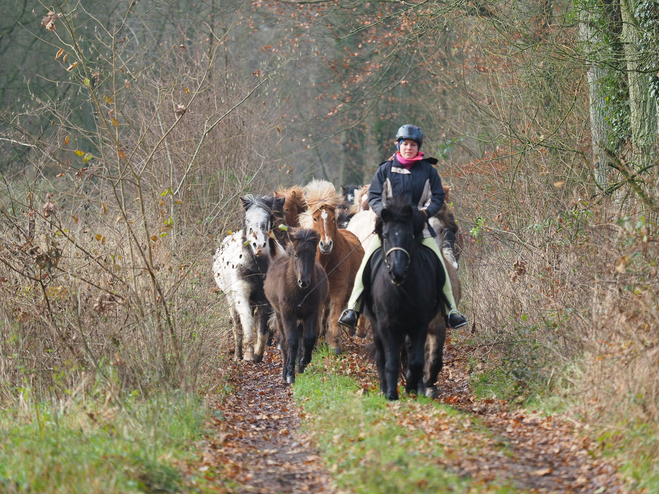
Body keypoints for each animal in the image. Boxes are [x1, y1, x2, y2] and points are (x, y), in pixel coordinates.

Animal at [211, 195, 284, 360]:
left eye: (266, 219)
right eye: (248, 219)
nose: (259, 246)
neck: (256, 267)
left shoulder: (265, 301)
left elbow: (263, 329)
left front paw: (257, 354)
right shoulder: (241, 295)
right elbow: (247, 320)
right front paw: (249, 352)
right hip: (231, 299)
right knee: (237, 326)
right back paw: (238, 354)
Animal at [300, 179, 366, 354]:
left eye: (332, 218)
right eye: (315, 219)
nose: (326, 244)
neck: (327, 262)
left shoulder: (338, 292)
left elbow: (335, 318)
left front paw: (335, 346)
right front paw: (315, 345)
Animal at [360, 199, 444, 400]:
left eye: (409, 236)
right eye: (385, 235)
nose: (397, 272)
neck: (402, 289)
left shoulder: (420, 324)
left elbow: (416, 361)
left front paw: (412, 386)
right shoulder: (387, 325)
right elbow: (390, 361)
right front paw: (391, 393)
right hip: (376, 326)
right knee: (381, 357)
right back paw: (383, 388)